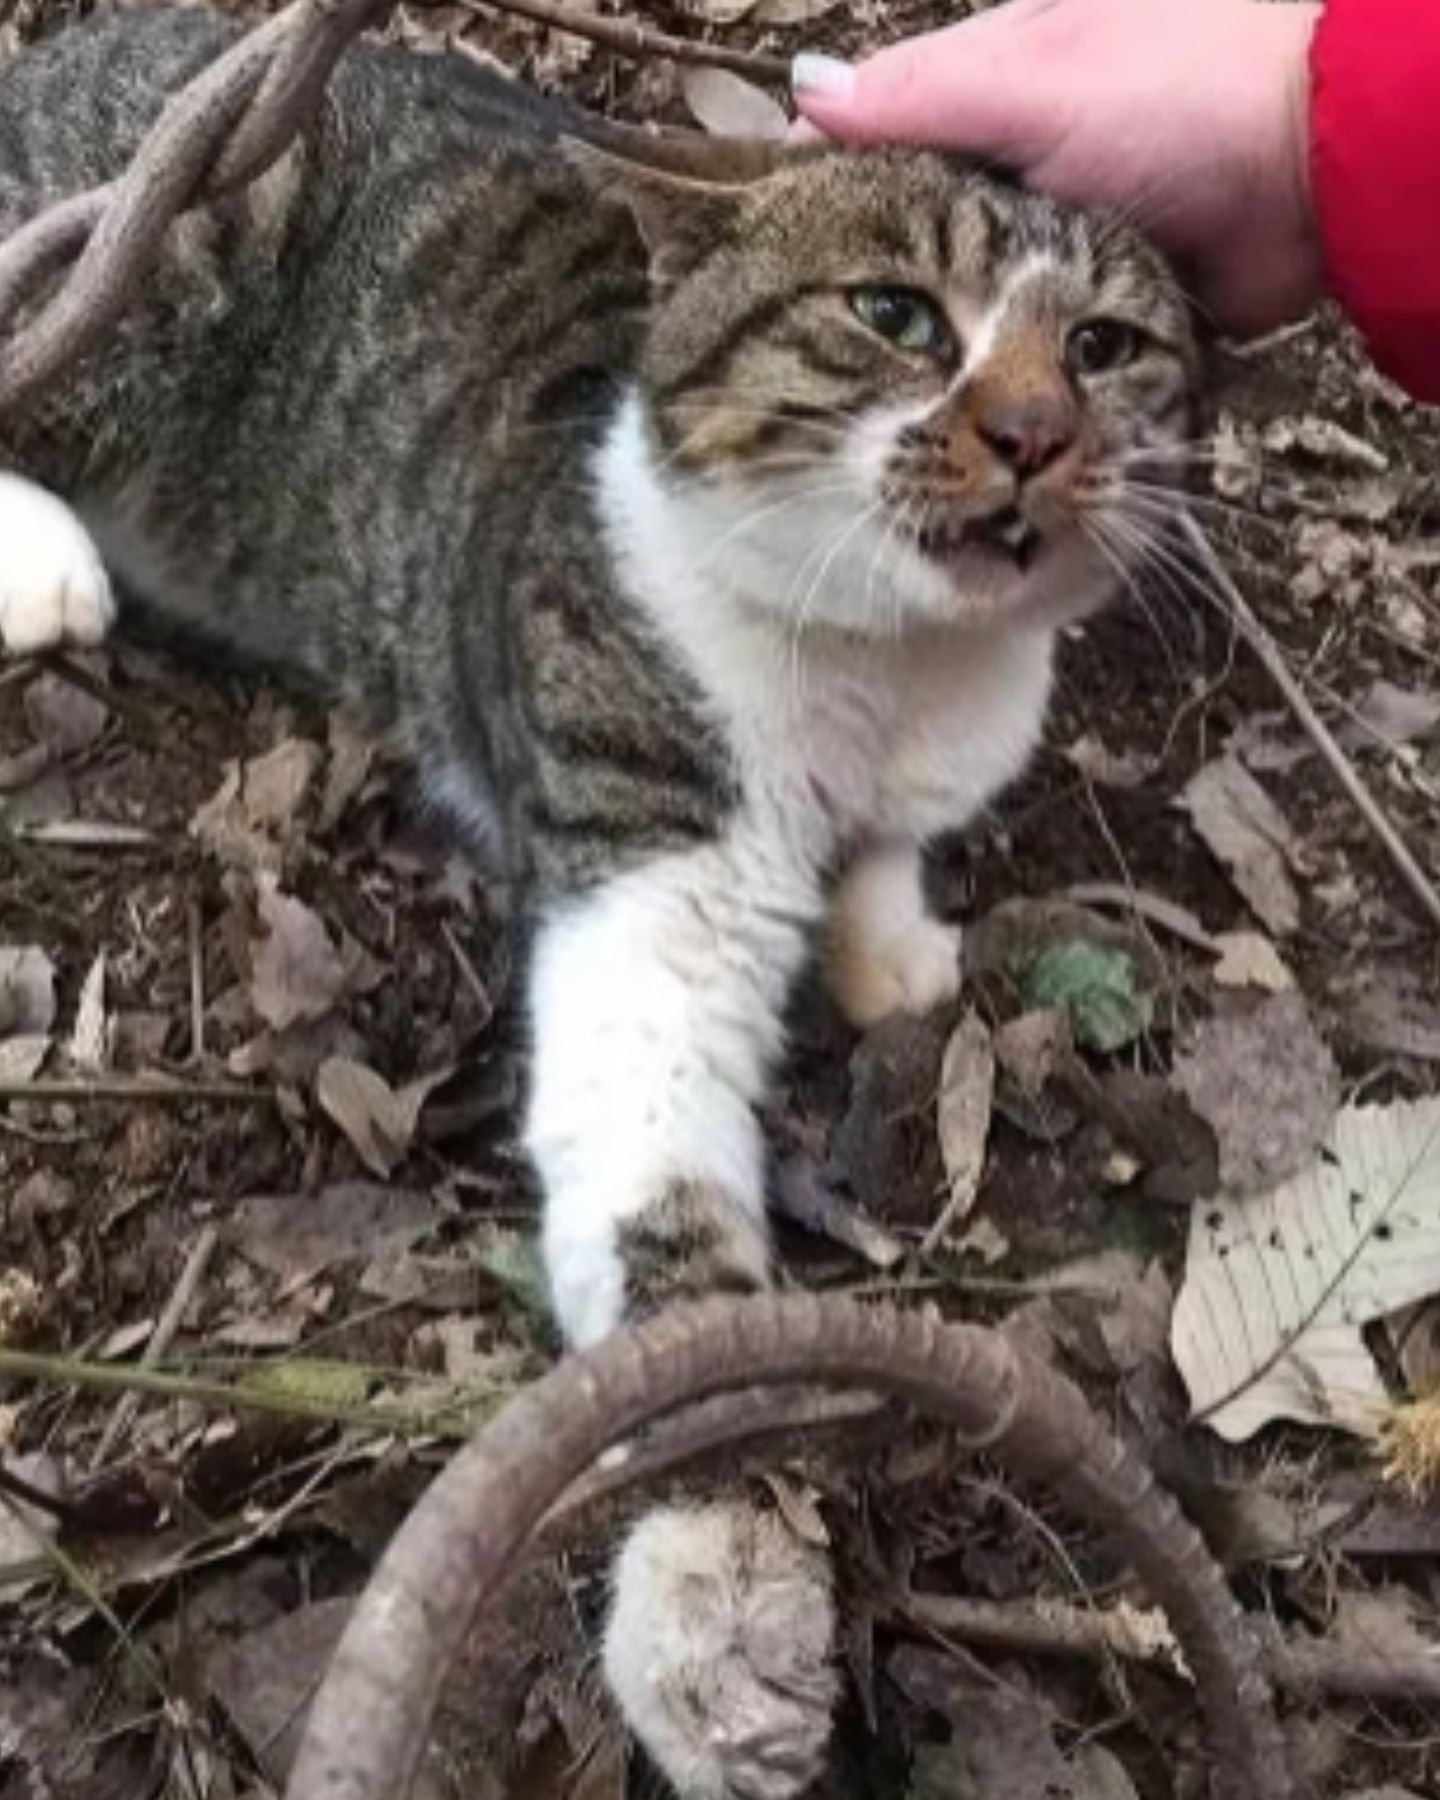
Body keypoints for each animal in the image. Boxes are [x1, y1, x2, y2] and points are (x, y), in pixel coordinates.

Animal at [0, 7, 1195, 1792]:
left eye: (1107, 346)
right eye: (897, 316)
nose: (1038, 434)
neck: (887, 674)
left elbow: (895, 856)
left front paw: (892, 937)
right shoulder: (648, 859)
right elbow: (674, 1264)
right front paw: (721, 1608)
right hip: (183, 223)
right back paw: (42, 559)